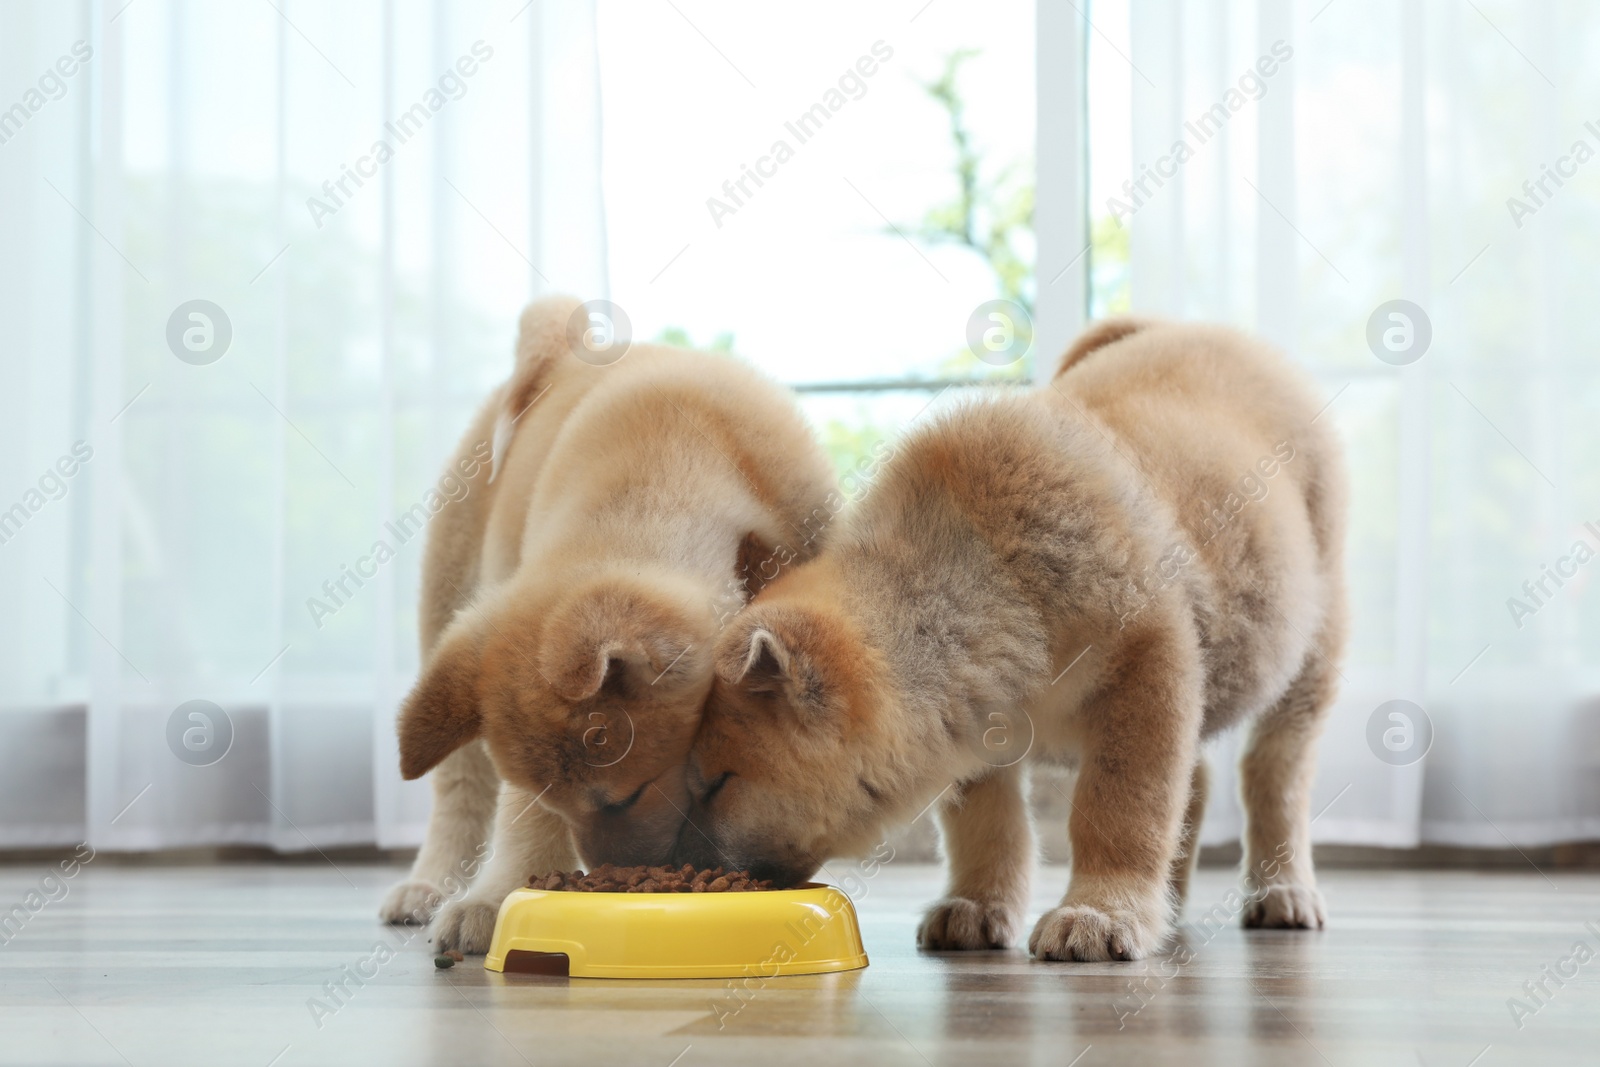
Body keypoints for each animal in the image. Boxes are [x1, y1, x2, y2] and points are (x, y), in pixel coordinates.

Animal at [379, 295, 838, 953]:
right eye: (564, 804)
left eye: (629, 796)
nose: (607, 878)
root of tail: (557, 354)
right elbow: (519, 814)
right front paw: (499, 897)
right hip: (449, 608)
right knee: (458, 788)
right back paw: (431, 885)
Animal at [675, 321, 1350, 966]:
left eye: (718, 783)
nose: (686, 868)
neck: (995, 576)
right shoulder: (975, 726)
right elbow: (988, 827)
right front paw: (975, 905)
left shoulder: (1148, 670)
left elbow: (1121, 810)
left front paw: (1101, 913)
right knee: (1202, 778)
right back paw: (1172, 904)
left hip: (1309, 660)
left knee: (1274, 777)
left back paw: (1282, 891)